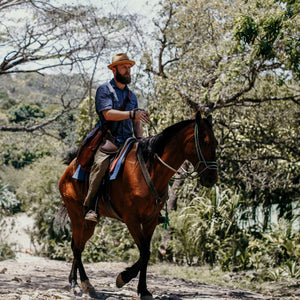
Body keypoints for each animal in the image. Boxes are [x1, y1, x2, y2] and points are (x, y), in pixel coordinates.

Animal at [58, 110, 218, 300]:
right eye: (204, 142)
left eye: (216, 143)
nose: (212, 178)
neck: (150, 170)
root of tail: (69, 169)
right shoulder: (132, 220)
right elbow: (145, 252)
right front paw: (123, 278)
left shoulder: (150, 220)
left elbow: (145, 253)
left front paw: (143, 289)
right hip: (76, 214)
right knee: (76, 247)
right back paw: (82, 284)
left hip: (89, 223)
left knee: (78, 245)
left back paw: (74, 282)